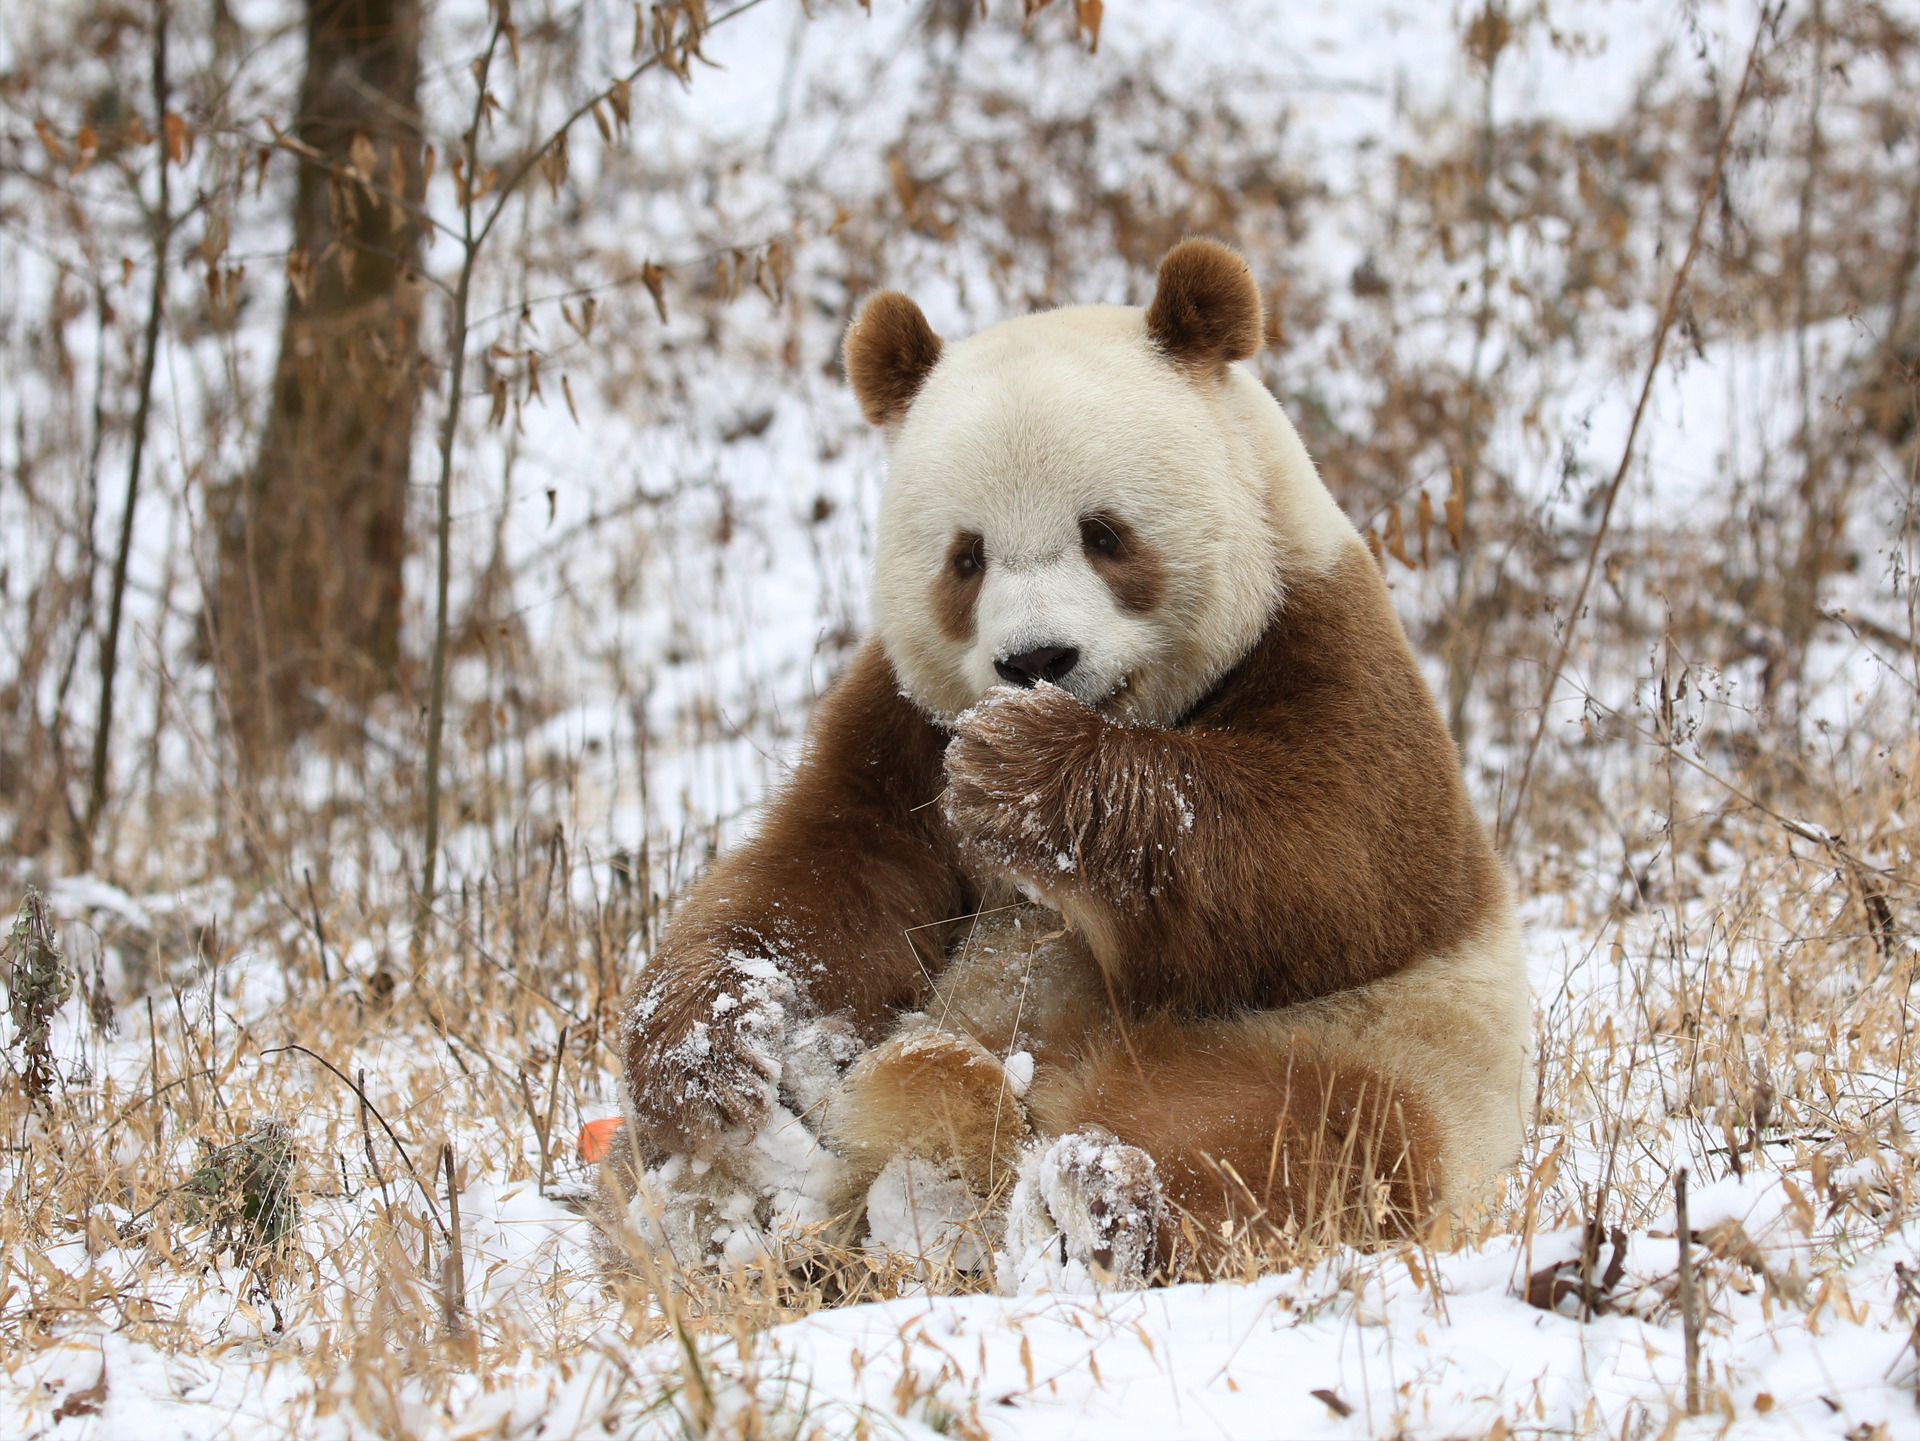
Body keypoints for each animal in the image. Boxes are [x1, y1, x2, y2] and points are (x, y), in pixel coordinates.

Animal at [614, 242, 1528, 1289]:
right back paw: (749, 1201)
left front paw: (1023, 772)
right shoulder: (901, 722)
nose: (1036, 660)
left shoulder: (1326, 643)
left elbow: (1333, 863)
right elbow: (829, 878)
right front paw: (713, 1052)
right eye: (966, 558)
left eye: (1105, 533)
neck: (1137, 714)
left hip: (1363, 1046)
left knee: (1303, 1140)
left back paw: (1090, 1201)